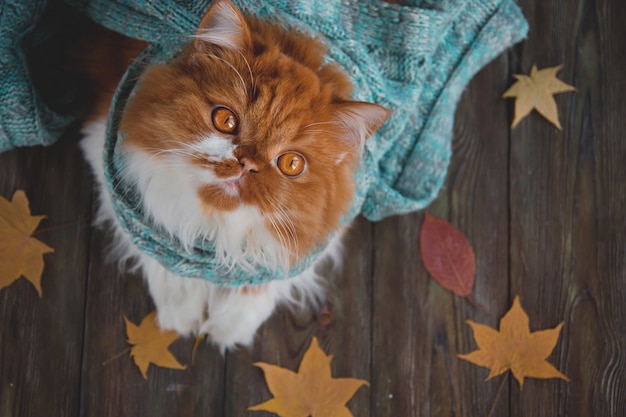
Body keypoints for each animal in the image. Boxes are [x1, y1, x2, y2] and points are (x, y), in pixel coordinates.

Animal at [80, 0, 388, 352]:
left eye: (291, 164)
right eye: (225, 120)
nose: (247, 164)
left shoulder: (340, 215)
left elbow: (266, 273)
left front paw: (228, 327)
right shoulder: (103, 141)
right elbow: (157, 246)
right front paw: (182, 311)